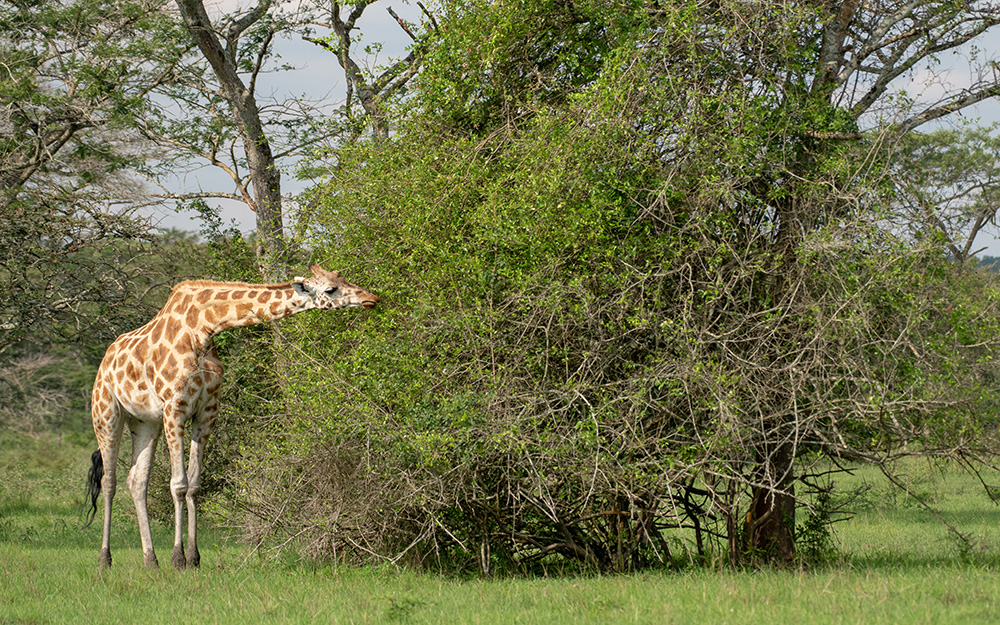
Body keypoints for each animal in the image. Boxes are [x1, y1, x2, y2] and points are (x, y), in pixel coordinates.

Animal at [84, 264, 378, 569]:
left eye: (343, 279)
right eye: (331, 289)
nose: (372, 298)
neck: (203, 329)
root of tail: (104, 361)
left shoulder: (207, 412)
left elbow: (194, 485)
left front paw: (193, 557)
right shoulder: (175, 408)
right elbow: (178, 485)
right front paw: (178, 558)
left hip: (145, 422)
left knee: (137, 481)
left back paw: (150, 560)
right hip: (106, 413)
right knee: (108, 481)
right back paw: (104, 559)